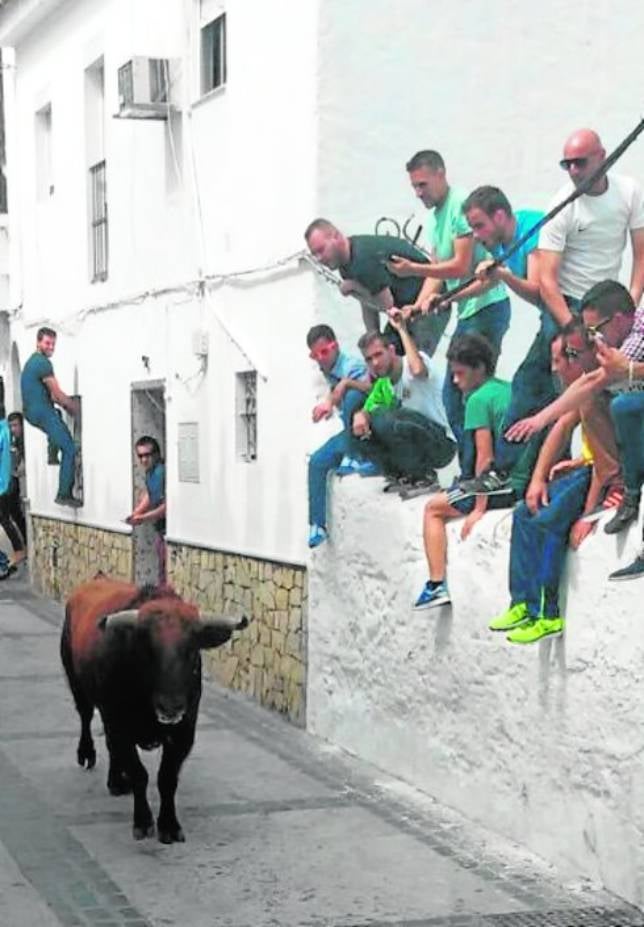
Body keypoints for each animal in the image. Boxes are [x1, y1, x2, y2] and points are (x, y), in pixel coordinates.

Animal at [60, 580, 248, 848]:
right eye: (148, 650)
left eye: (192, 650)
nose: (171, 707)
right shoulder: (119, 725)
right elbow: (140, 774)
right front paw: (143, 821)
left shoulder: (184, 732)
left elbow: (166, 779)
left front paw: (169, 825)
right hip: (77, 684)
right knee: (85, 718)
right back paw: (90, 757)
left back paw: (116, 781)